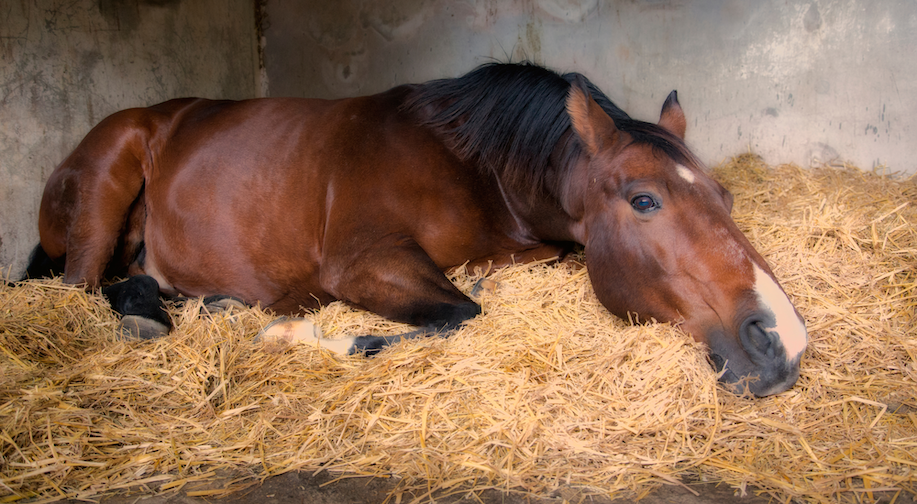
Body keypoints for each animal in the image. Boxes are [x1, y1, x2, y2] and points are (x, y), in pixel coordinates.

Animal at [28, 62, 807, 397]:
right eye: (644, 201)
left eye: (725, 196)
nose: (784, 341)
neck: (470, 164)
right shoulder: (364, 262)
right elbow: (460, 315)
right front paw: (298, 334)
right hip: (105, 192)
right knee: (81, 289)